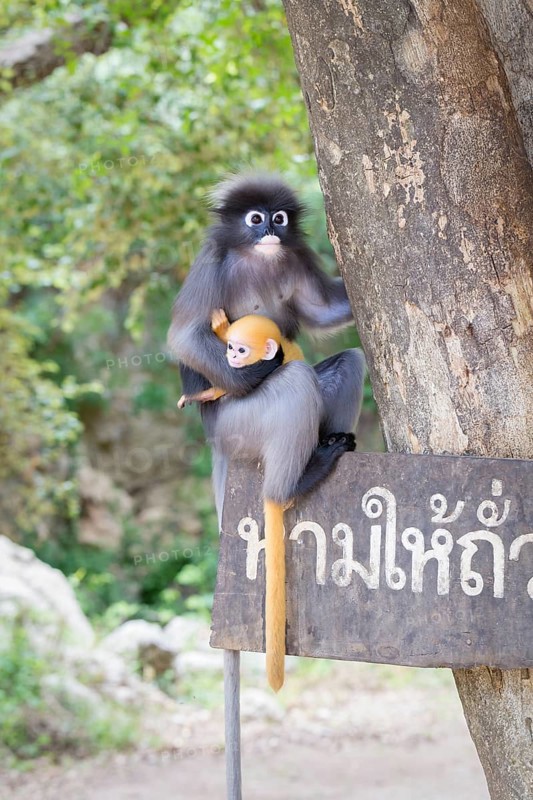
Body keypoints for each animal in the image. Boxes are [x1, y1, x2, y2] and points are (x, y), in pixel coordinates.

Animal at [168, 173, 366, 690]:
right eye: (254, 218)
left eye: (278, 217)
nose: (271, 231)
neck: (262, 258)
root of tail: (215, 439)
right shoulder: (212, 261)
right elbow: (185, 337)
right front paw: (259, 364)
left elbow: (320, 312)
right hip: (241, 424)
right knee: (293, 382)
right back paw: (295, 481)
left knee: (349, 361)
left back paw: (329, 444)